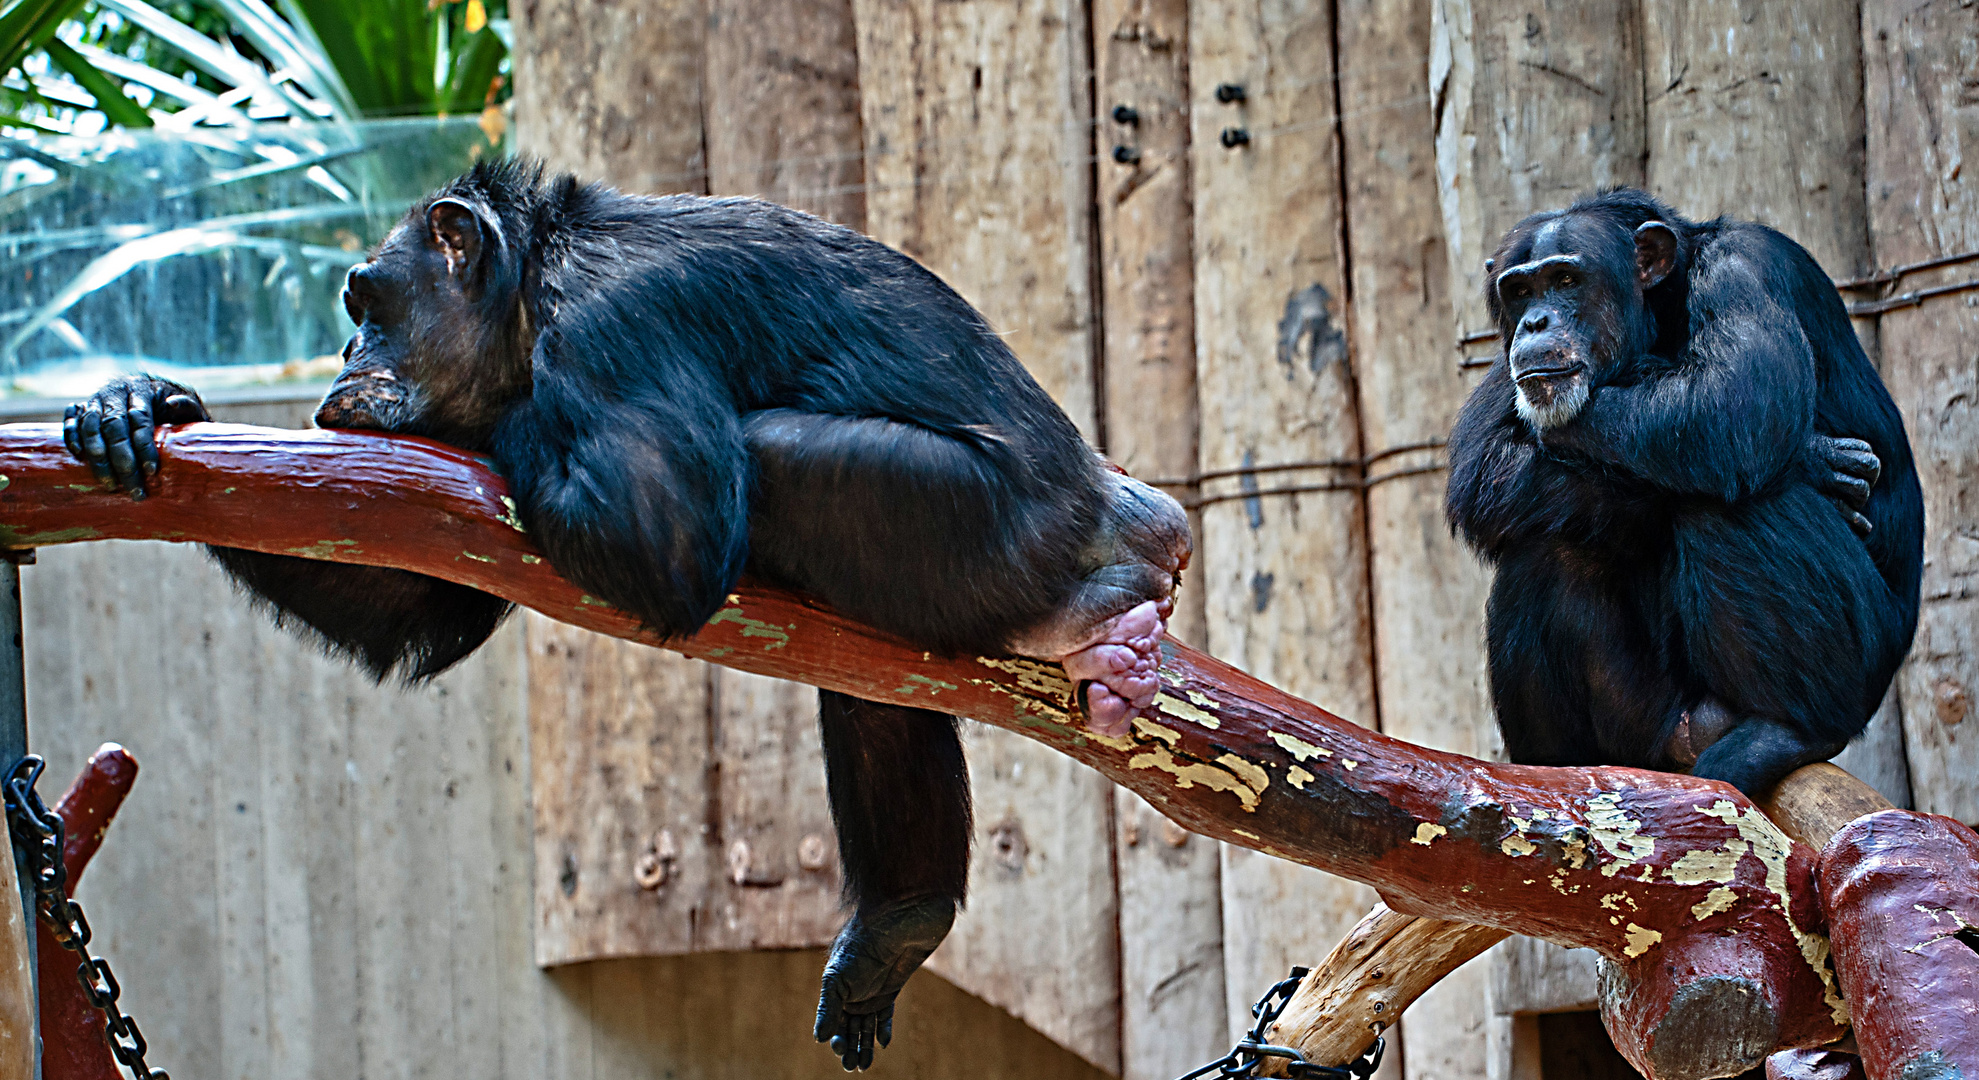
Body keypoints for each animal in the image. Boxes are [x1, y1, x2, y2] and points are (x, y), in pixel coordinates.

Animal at [65, 155, 1187, 1060]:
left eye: (366, 298)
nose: (346, 353)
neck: (533, 289)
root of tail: (1117, 509)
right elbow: (416, 595)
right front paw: (148, 404)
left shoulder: (614, 324)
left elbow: (662, 532)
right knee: (872, 684)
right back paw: (895, 925)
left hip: (970, 528)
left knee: (769, 452)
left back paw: (1091, 618)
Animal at [1448, 184, 1923, 795]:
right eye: (1519, 290)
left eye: (1566, 280)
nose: (1534, 323)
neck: (1661, 306)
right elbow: (1483, 464)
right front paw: (1819, 462)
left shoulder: (1744, 268)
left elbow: (1732, 402)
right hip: (1645, 727)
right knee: (1545, 549)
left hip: (1862, 663)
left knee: (1725, 498)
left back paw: (1790, 730)